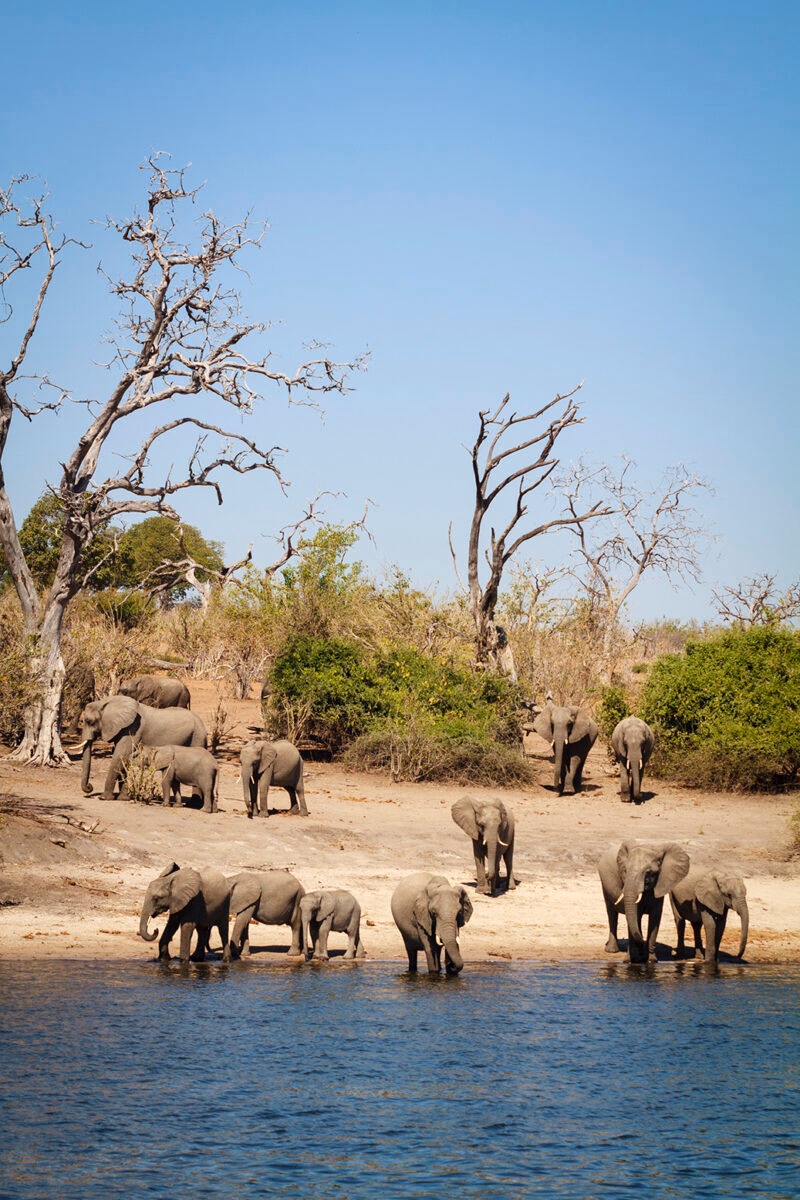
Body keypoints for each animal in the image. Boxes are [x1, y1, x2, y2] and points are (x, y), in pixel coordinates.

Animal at [79, 695, 207, 801]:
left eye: (89, 721)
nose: (90, 787)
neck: (105, 702)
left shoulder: (133, 729)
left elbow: (120, 757)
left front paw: (104, 798)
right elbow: (125, 759)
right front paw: (123, 798)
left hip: (198, 736)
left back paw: (194, 804)